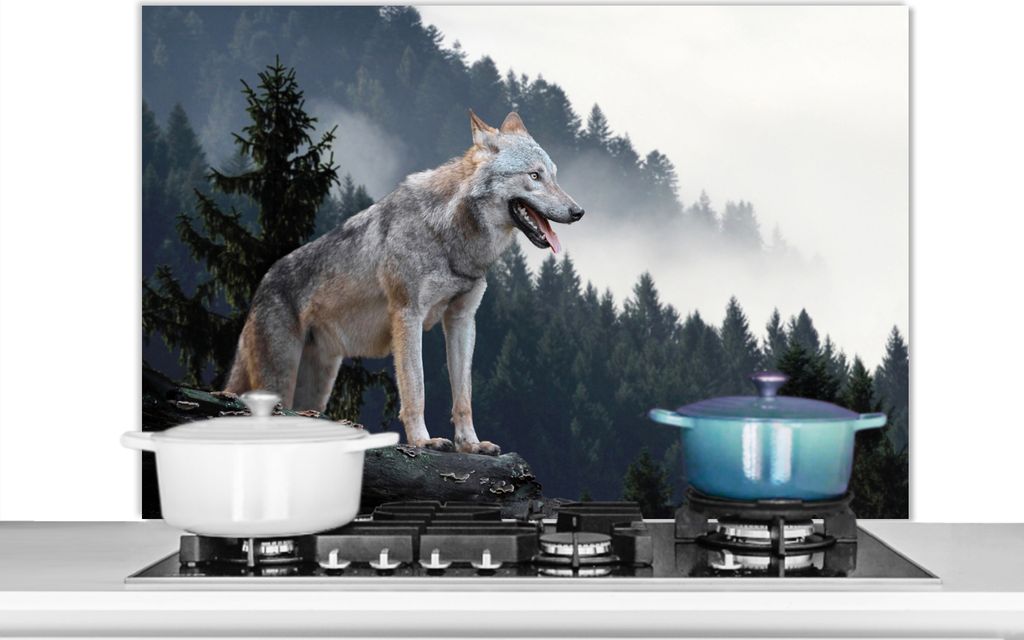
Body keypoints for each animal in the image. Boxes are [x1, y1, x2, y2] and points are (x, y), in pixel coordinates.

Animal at [225, 110, 584, 455]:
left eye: (554, 175)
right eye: (534, 176)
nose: (578, 211)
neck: (450, 236)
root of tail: (261, 286)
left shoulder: (462, 320)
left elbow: (463, 396)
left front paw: (470, 444)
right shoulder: (408, 314)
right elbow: (416, 388)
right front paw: (423, 441)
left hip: (316, 387)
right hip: (279, 381)